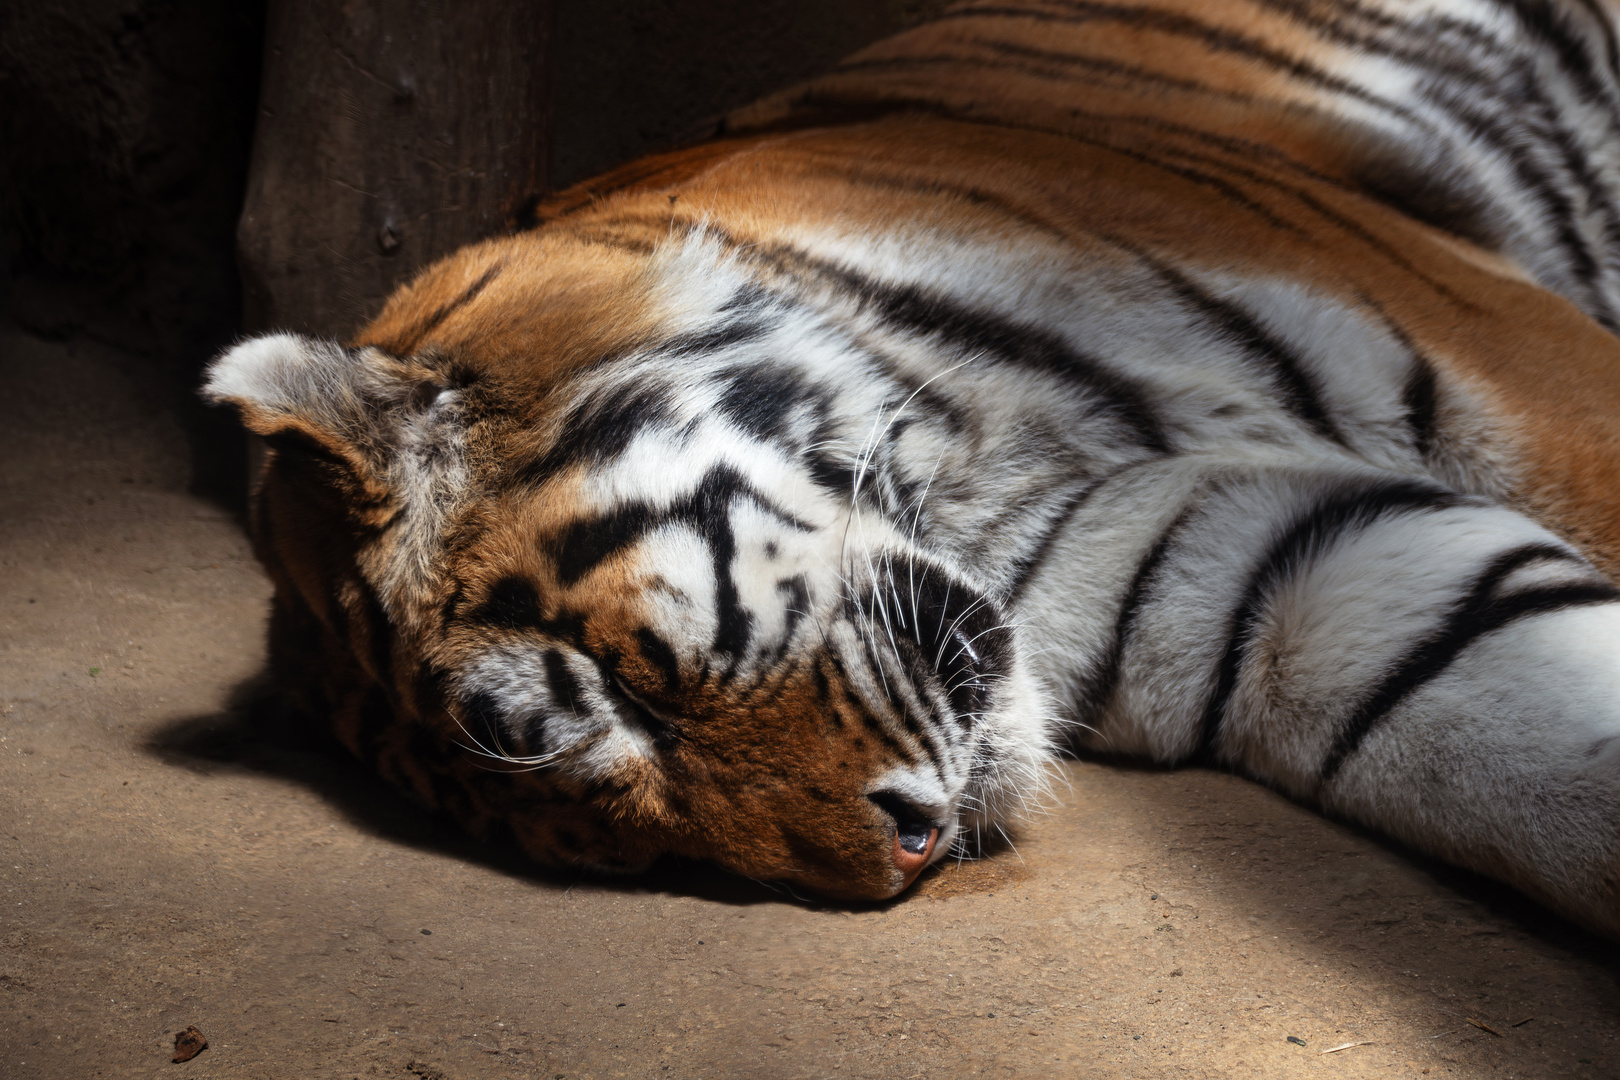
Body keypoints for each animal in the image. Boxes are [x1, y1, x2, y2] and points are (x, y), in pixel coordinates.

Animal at [202, 0, 1620, 939]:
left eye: (624, 697)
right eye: (616, 828)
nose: (905, 858)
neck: (980, 480)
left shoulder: (1521, 376)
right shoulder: (1264, 568)